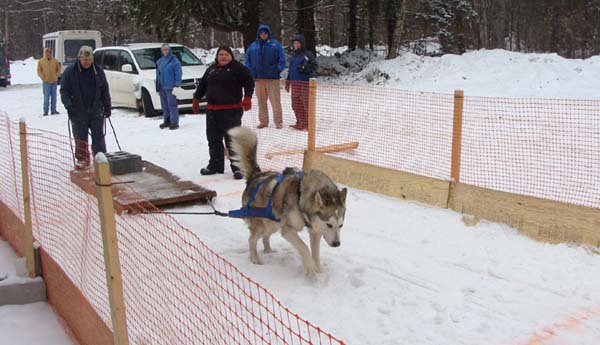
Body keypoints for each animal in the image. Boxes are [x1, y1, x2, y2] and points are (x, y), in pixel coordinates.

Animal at [227, 126, 346, 276]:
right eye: (329, 225)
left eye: (341, 225)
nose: (337, 244)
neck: (301, 196)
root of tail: (256, 175)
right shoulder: (288, 230)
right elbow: (304, 247)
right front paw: (310, 269)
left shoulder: (315, 232)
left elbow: (315, 253)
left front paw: (318, 271)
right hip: (262, 225)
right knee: (252, 239)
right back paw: (255, 258)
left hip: (273, 224)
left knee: (265, 237)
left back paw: (268, 250)